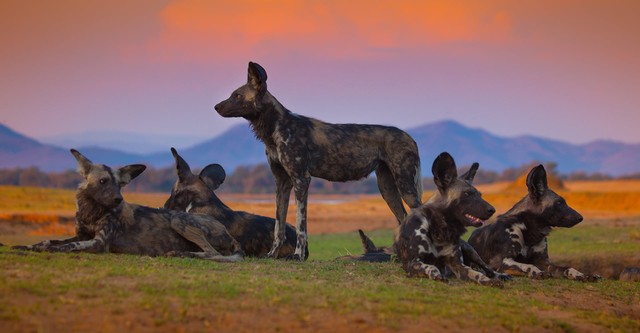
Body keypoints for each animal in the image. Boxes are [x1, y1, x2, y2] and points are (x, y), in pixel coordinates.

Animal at [15, 148, 245, 262]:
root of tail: (228, 233)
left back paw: (182, 254)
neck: (92, 211)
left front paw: (46, 250)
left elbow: (66, 246)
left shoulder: (98, 243)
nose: (119, 199)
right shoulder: (81, 235)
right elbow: (49, 241)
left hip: (178, 219)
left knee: (213, 254)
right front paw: (28, 246)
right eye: (103, 181)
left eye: (120, 185)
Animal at [215, 61, 424, 260]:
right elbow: (278, 226)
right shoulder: (282, 182)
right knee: (403, 219)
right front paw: (272, 255)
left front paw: (298, 256)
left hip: (406, 188)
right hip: (387, 188)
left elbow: (301, 226)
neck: (276, 127)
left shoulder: (301, 180)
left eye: (237, 96)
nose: (216, 106)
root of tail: (409, 137)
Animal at [396, 152, 504, 286]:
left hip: (471, 251)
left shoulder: (458, 264)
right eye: (467, 194)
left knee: (486, 268)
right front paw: (436, 275)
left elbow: (477, 274)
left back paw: (500, 275)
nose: (492, 210)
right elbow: (431, 266)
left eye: (480, 195)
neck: (439, 228)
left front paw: (488, 281)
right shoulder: (413, 262)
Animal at [468, 164, 604, 280]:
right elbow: (527, 265)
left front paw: (583, 275)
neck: (530, 231)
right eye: (559, 203)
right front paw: (537, 272)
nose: (580, 217)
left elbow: (567, 268)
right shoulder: (505, 261)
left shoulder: (544, 262)